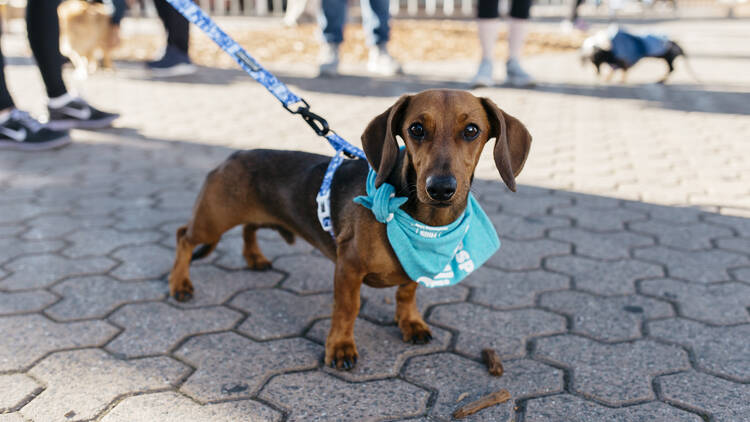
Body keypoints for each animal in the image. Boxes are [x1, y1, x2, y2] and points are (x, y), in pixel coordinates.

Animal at [170, 89, 536, 370]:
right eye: (416, 128)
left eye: (472, 130)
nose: (441, 188)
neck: (422, 222)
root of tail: (232, 156)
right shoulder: (348, 268)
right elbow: (348, 309)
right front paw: (341, 347)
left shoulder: (414, 267)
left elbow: (406, 293)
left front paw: (410, 322)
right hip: (212, 222)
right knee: (183, 237)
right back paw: (179, 284)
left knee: (249, 228)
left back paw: (254, 257)